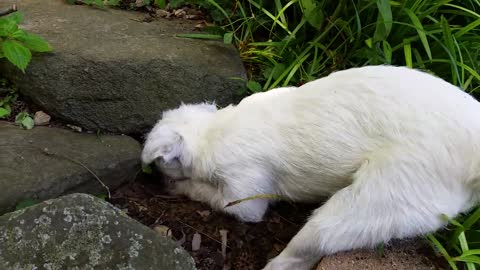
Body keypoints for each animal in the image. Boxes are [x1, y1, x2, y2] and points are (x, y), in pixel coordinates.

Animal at [141, 66, 480, 270]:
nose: (156, 176)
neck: (216, 129)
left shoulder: (244, 194)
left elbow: (211, 194)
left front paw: (179, 185)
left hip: (377, 199)